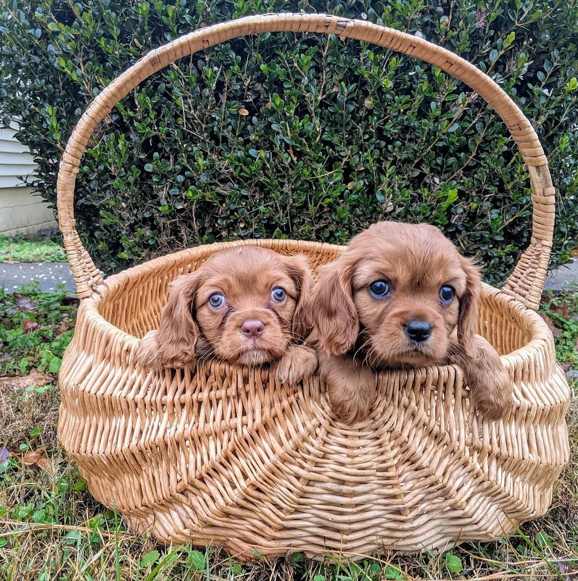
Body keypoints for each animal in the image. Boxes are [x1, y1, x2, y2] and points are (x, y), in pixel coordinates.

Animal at [308, 221, 510, 422]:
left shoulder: (446, 341)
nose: (419, 330)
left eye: (447, 292)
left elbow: (476, 344)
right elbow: (339, 353)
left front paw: (498, 392)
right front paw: (353, 393)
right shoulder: (318, 339)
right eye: (379, 287)